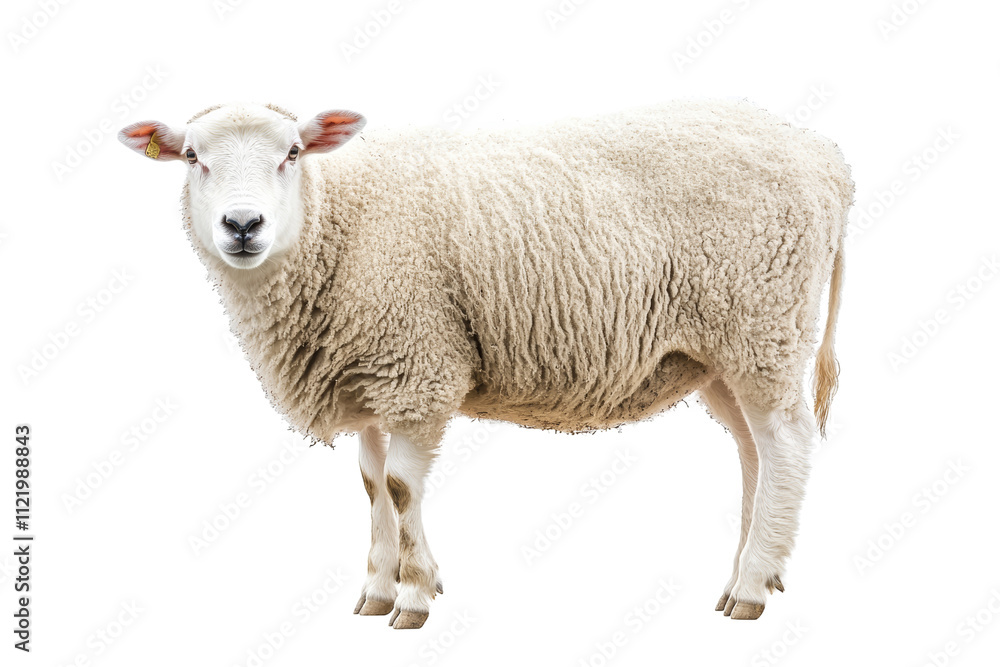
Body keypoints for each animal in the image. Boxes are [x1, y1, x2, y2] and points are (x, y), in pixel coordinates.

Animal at [118, 99, 853, 627]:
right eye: (192, 156)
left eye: (292, 153)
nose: (243, 226)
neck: (335, 224)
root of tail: (826, 160)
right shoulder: (369, 375)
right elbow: (371, 484)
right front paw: (378, 589)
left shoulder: (417, 366)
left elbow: (401, 487)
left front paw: (415, 596)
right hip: (722, 349)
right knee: (754, 451)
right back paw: (750, 569)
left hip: (762, 319)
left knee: (786, 443)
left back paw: (752, 585)